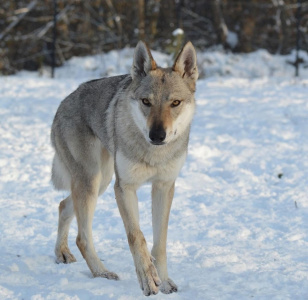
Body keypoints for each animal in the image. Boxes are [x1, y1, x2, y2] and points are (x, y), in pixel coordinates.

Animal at [51, 40, 197, 296]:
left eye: (175, 103)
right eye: (146, 102)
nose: (157, 135)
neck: (153, 154)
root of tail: (64, 102)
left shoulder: (164, 187)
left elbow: (160, 243)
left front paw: (164, 281)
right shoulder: (124, 188)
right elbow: (137, 237)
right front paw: (148, 279)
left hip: (101, 182)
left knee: (63, 206)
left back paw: (62, 254)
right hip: (93, 183)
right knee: (82, 237)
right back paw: (102, 273)